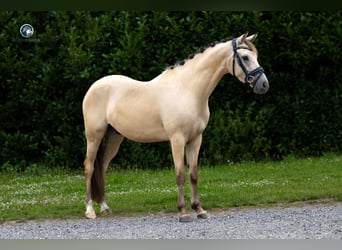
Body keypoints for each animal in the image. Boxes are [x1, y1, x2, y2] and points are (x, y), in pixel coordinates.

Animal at [83, 32, 270, 222]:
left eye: (256, 56)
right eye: (245, 57)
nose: (263, 85)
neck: (187, 90)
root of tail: (94, 86)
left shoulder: (195, 139)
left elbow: (193, 175)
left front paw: (199, 210)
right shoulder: (177, 139)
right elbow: (180, 175)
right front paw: (183, 212)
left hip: (114, 137)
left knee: (102, 167)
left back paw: (104, 206)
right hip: (94, 137)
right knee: (89, 167)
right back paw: (89, 210)